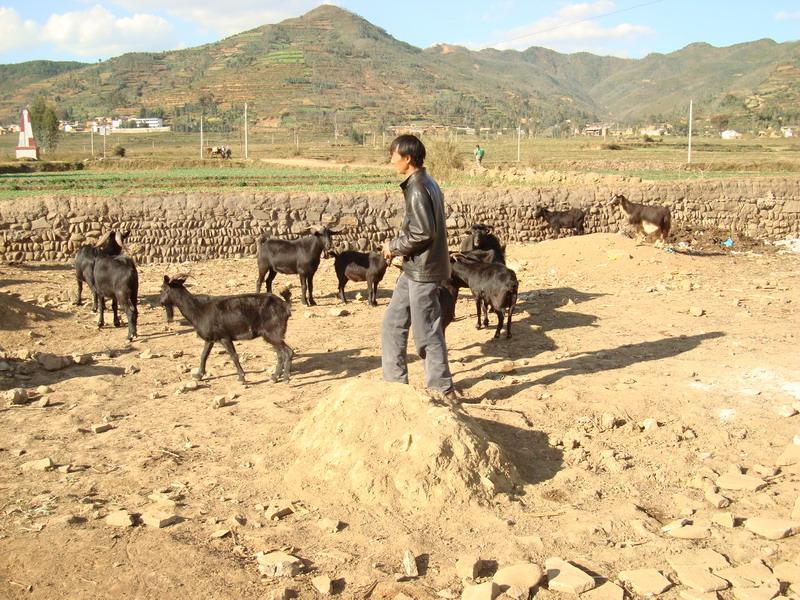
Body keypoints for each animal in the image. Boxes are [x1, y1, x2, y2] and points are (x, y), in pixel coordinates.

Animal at [158, 276, 292, 382]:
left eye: (163, 288)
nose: (160, 302)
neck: (198, 309)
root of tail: (285, 307)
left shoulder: (224, 337)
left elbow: (233, 355)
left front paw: (241, 377)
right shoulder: (210, 339)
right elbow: (204, 355)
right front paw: (198, 375)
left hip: (273, 334)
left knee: (287, 352)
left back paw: (284, 378)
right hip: (272, 336)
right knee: (281, 354)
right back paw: (275, 377)